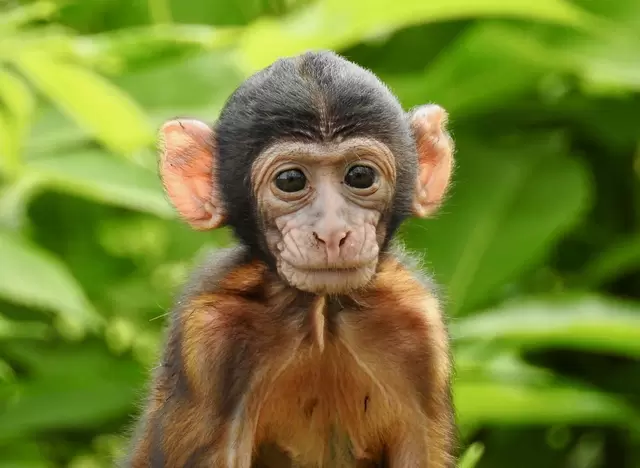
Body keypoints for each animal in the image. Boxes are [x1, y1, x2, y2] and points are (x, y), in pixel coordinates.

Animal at [124, 49, 456, 466]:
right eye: (291, 181)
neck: (321, 314)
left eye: (360, 176)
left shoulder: (418, 328)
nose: (331, 231)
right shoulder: (209, 340)